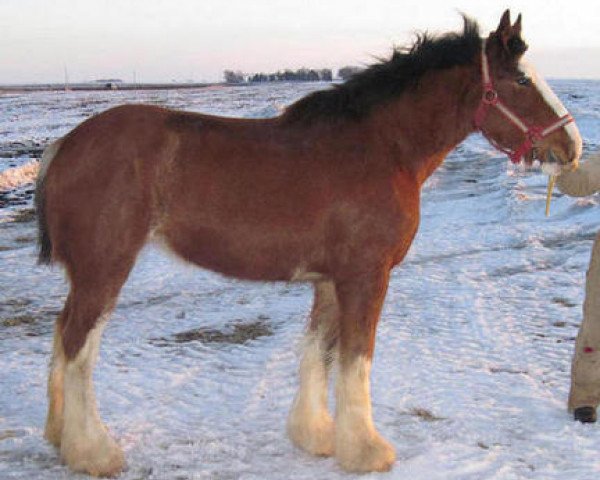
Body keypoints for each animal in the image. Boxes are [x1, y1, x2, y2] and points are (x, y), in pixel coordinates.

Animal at [34, 10, 580, 476]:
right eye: (522, 80)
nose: (571, 147)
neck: (383, 148)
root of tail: (64, 145)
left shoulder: (330, 281)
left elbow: (320, 350)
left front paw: (317, 436)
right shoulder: (365, 277)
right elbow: (357, 358)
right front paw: (367, 451)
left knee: (62, 336)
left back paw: (62, 439)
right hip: (105, 269)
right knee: (79, 345)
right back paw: (94, 452)